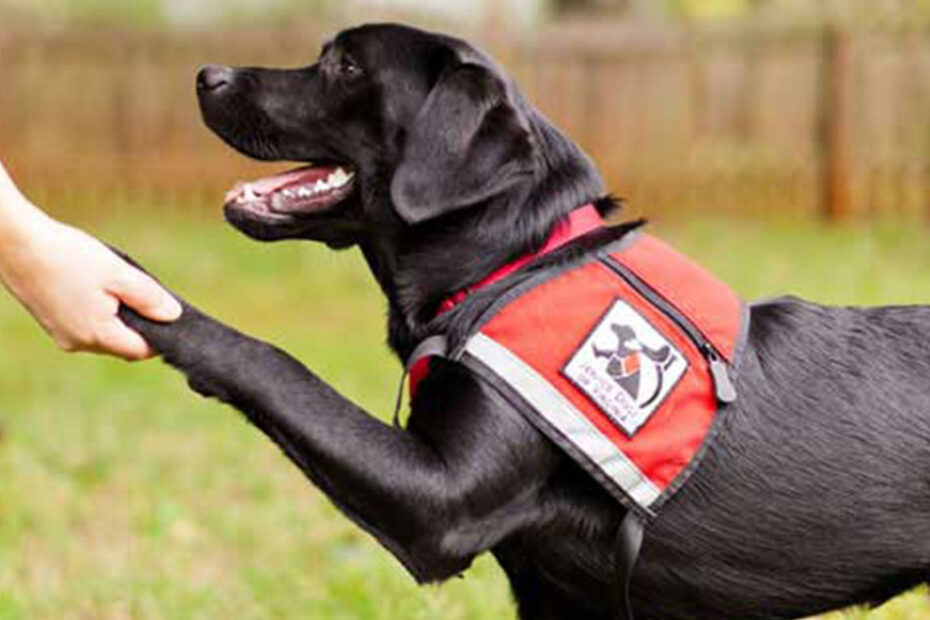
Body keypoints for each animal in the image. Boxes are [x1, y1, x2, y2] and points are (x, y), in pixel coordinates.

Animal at [121, 24, 930, 620]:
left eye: (345, 65)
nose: (207, 74)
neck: (510, 262)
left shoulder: (440, 500)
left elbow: (276, 363)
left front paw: (140, 292)